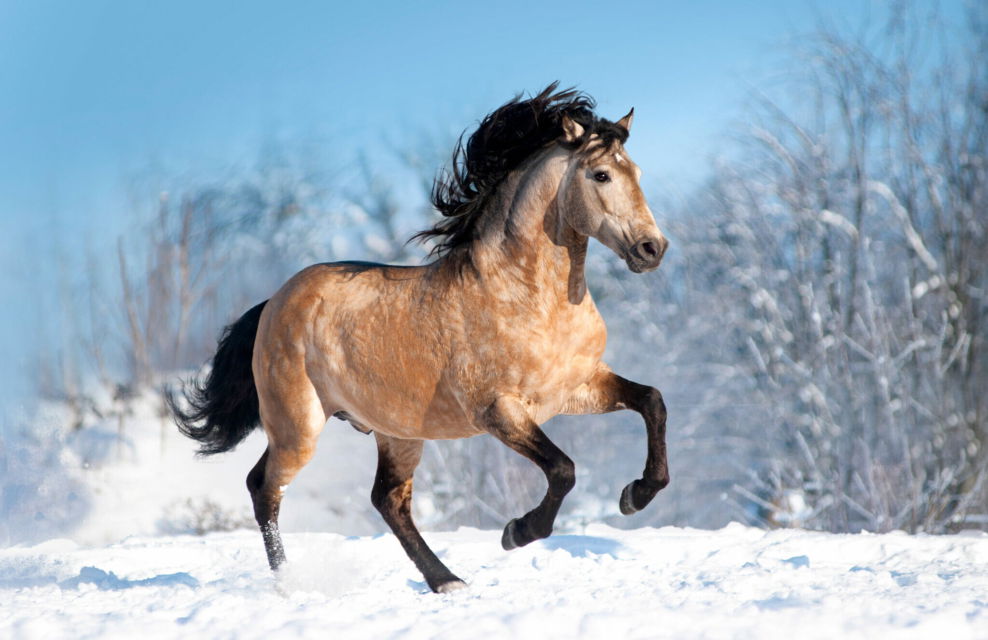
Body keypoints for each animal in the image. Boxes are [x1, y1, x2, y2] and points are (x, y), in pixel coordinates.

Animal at [170, 83, 670, 593]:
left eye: (638, 173)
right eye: (601, 174)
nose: (652, 249)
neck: (527, 296)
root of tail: (275, 301)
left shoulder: (577, 387)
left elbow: (652, 401)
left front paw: (636, 495)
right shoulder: (498, 410)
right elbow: (563, 470)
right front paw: (516, 532)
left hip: (396, 432)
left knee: (387, 499)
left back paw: (447, 581)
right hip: (299, 426)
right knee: (265, 488)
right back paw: (290, 583)